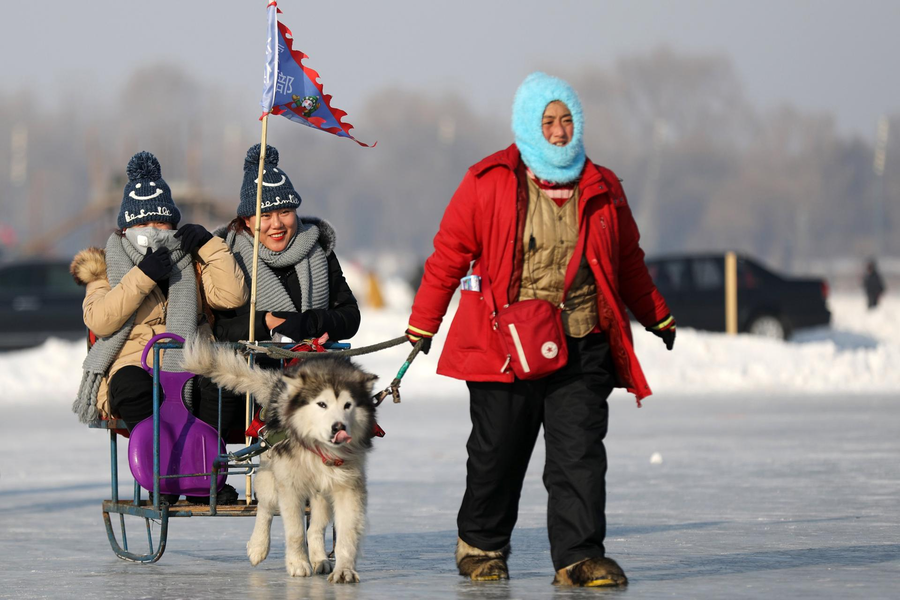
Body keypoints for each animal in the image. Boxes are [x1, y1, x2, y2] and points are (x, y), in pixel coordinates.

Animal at [181, 340, 378, 584]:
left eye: (348, 405)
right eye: (322, 404)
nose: (338, 427)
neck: (318, 449)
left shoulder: (348, 487)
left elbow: (347, 532)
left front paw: (344, 570)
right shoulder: (289, 486)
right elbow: (294, 531)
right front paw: (298, 563)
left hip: (321, 492)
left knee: (315, 527)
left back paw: (320, 558)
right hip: (271, 475)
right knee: (265, 508)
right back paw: (258, 547)